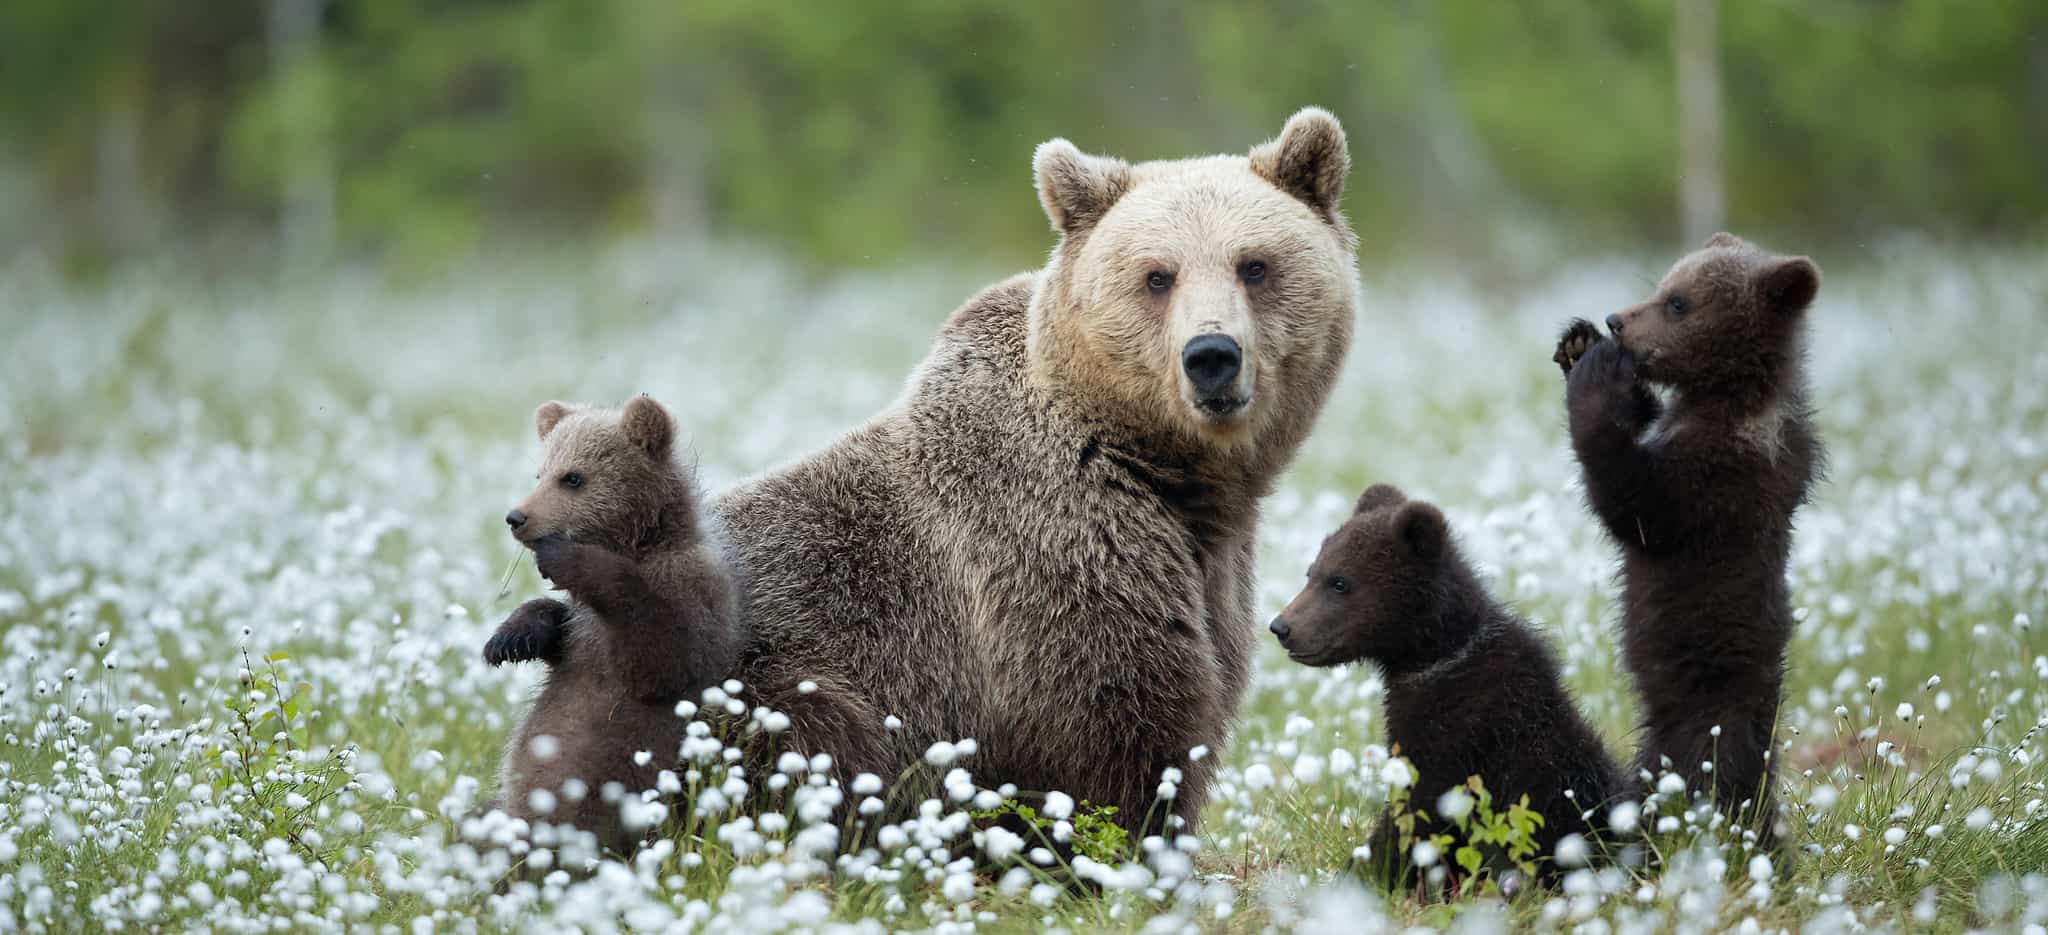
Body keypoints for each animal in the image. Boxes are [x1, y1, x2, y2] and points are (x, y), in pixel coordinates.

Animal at [483, 394, 740, 854]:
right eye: (540, 472)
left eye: (573, 477)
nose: (517, 517)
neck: (642, 541)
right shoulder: (581, 631)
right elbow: (557, 626)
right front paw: (509, 639)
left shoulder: (694, 595)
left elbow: (660, 653)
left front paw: (567, 558)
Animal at [705, 108, 1359, 832]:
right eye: (1158, 275)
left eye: (1255, 265)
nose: (1211, 355)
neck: (1164, 471)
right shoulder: (1055, 554)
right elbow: (1117, 727)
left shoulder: (1213, 571)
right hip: (761, 675)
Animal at [1268, 483, 1626, 887]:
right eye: (1311, 572)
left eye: (1340, 581)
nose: (1282, 627)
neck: (1433, 657)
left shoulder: (1461, 734)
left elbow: (1416, 816)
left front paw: (1365, 873)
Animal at [1553, 232, 1823, 853]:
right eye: (1662, 286)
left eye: (1678, 302)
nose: (1617, 320)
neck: (1725, 399)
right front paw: (1578, 343)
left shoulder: (1719, 482)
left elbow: (1634, 503)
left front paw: (1596, 377)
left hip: (1706, 714)